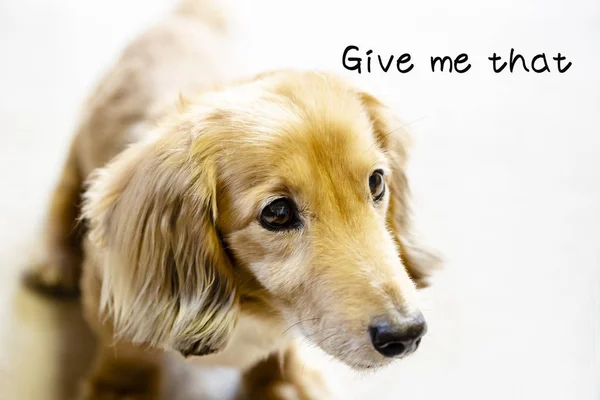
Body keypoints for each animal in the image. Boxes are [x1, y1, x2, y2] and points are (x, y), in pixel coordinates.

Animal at [25, 1, 438, 398]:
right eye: (277, 212)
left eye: (376, 182)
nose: (405, 334)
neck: (247, 301)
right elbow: (128, 352)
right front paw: (123, 389)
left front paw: (281, 381)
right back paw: (55, 259)